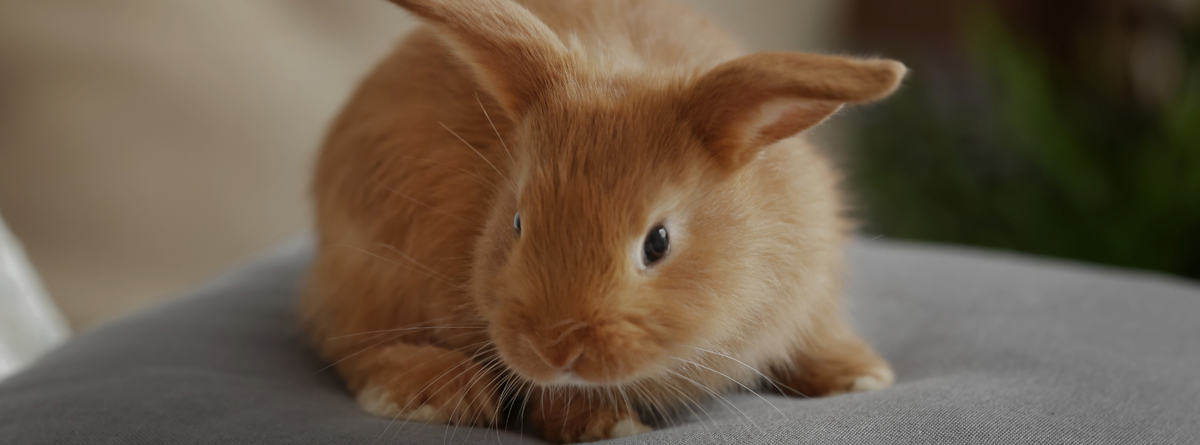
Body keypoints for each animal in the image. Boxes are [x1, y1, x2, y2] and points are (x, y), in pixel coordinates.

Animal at [300, 0, 905, 442]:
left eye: (657, 242)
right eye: (516, 222)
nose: (554, 348)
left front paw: (860, 377)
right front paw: (607, 425)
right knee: (353, 348)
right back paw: (440, 394)